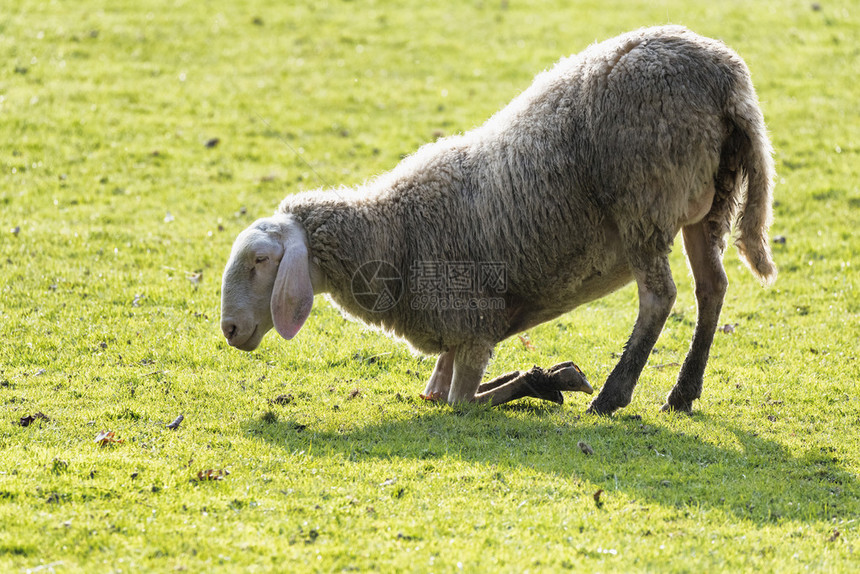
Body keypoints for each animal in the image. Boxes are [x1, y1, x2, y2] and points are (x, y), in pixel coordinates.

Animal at [222, 25, 780, 414]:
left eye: (261, 259)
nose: (229, 329)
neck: (393, 234)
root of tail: (725, 78)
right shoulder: (461, 330)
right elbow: (435, 393)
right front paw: (553, 375)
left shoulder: (472, 325)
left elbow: (462, 401)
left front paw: (548, 382)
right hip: (708, 203)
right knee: (712, 287)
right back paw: (683, 392)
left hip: (642, 199)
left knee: (660, 297)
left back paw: (613, 395)